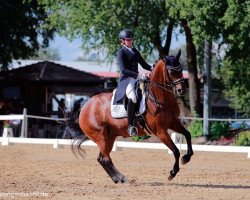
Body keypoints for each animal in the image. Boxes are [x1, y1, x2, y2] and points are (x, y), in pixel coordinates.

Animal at [73, 50, 194, 184]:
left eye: (181, 69)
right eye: (171, 72)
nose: (181, 91)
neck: (161, 97)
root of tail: (85, 106)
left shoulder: (173, 122)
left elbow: (188, 134)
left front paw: (186, 158)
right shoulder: (160, 131)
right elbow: (175, 151)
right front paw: (172, 173)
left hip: (109, 137)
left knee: (102, 158)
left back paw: (118, 178)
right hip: (100, 136)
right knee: (105, 158)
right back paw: (122, 178)